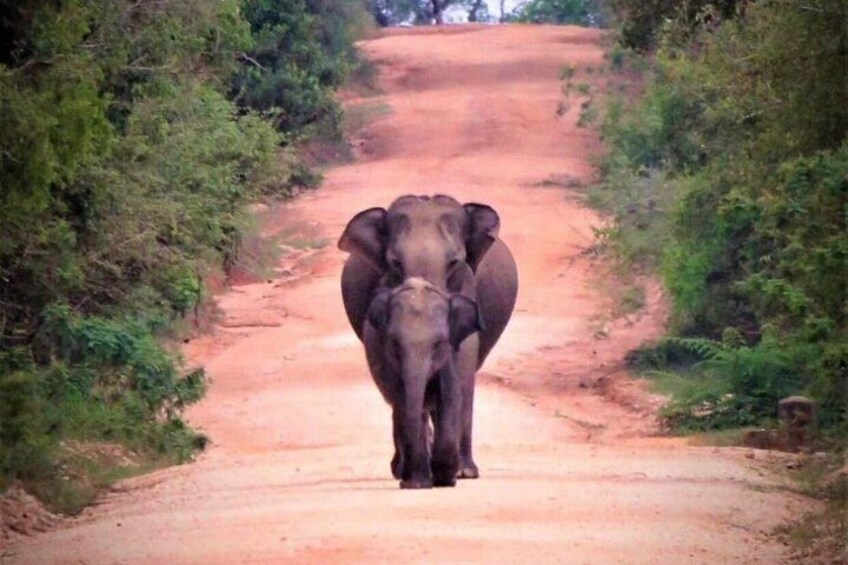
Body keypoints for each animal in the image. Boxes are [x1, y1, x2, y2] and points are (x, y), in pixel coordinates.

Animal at [363, 277, 482, 489]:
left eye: (438, 344)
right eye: (394, 344)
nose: (404, 483)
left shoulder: (449, 357)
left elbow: (450, 399)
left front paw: (446, 479)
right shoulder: (391, 366)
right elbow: (406, 405)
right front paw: (418, 484)